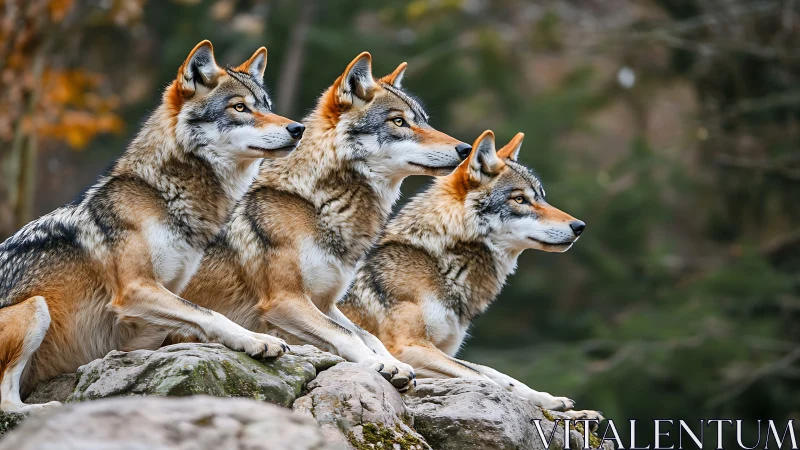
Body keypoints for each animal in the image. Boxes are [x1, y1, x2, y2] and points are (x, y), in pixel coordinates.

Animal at [0, 41, 303, 413]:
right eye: (240, 107)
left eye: (267, 107)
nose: (298, 128)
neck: (161, 195)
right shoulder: (136, 289)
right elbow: (212, 314)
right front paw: (257, 339)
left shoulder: (144, 320)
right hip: (35, 308)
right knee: (7, 403)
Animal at [177, 52, 471, 391]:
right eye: (399, 121)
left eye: (423, 120)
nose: (465, 149)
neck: (318, 204)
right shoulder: (286, 299)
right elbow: (348, 335)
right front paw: (381, 364)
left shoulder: (326, 303)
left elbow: (367, 335)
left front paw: (394, 363)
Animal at [339, 130, 603, 419]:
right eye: (519, 199)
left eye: (542, 197)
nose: (579, 226)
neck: (441, 262)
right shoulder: (408, 347)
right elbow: (482, 376)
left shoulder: (442, 349)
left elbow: (498, 375)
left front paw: (560, 406)